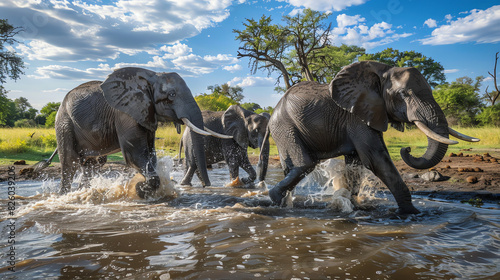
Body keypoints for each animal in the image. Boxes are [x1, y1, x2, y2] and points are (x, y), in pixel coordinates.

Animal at [51, 67, 230, 198]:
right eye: (171, 95)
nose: (207, 186)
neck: (151, 77)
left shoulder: (147, 113)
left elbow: (150, 152)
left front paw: (142, 188)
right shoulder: (125, 113)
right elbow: (135, 153)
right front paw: (138, 189)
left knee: (91, 165)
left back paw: (83, 193)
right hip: (64, 123)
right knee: (70, 163)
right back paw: (64, 195)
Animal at [268, 61, 478, 214]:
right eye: (404, 94)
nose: (407, 149)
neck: (381, 73)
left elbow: (356, 162)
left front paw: (353, 205)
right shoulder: (357, 117)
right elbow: (376, 158)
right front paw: (412, 213)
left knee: (293, 167)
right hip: (284, 127)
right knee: (305, 164)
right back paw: (276, 199)